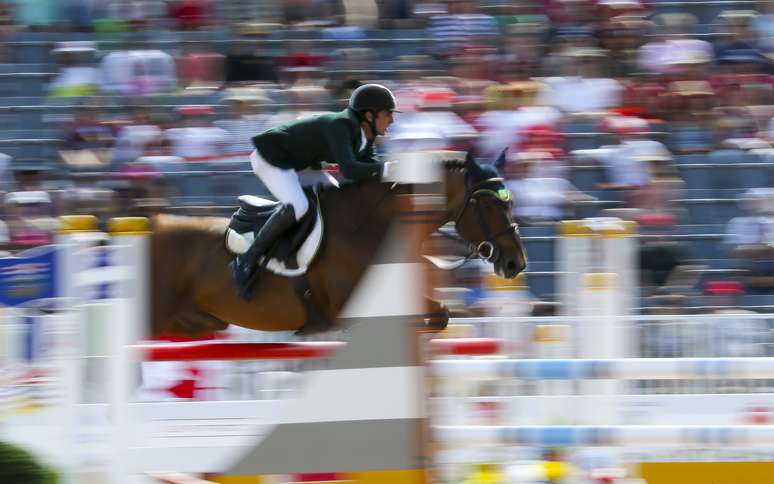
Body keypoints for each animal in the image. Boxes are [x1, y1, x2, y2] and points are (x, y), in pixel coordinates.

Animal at [150, 150, 528, 336]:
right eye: (487, 205)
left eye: (509, 202)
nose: (516, 263)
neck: (373, 225)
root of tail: (152, 225)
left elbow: (441, 314)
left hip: (190, 324)